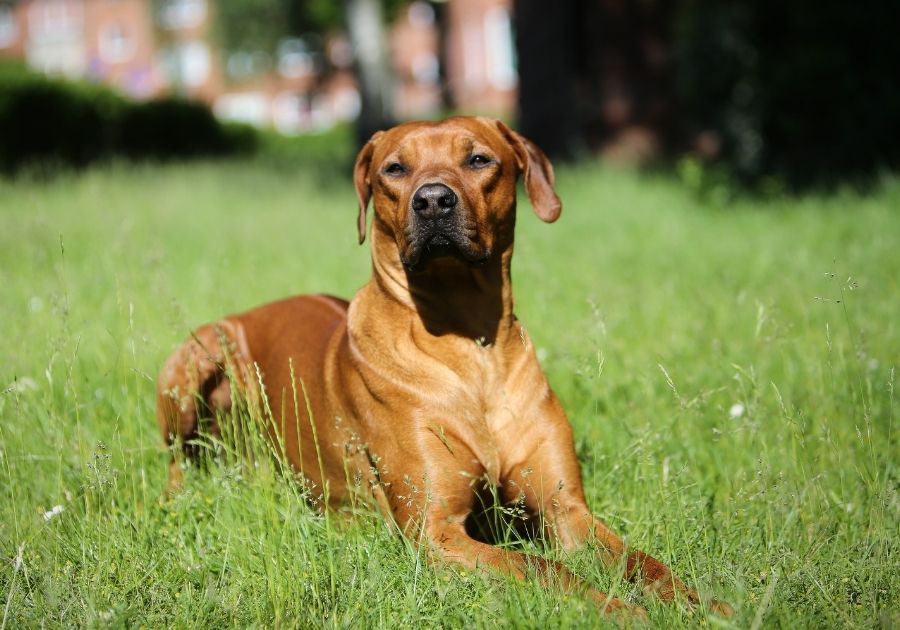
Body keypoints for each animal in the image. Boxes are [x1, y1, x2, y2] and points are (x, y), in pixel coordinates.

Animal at [158, 116, 736, 620]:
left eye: (478, 159)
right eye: (394, 168)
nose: (433, 200)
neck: (466, 339)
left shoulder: (566, 510)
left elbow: (643, 562)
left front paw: (703, 604)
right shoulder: (436, 530)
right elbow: (543, 568)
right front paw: (615, 609)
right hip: (196, 357)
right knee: (175, 464)